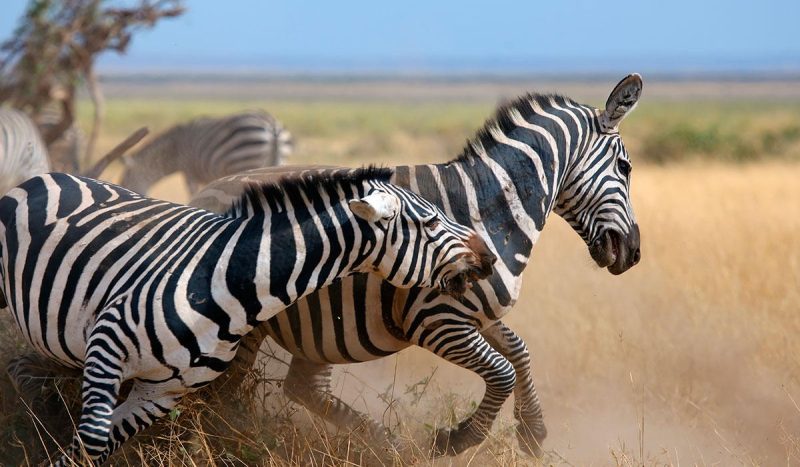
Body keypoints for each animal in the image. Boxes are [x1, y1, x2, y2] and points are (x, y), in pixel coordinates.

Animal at [0, 168, 495, 465]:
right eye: (431, 223)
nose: (487, 258)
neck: (228, 284)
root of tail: (51, 174)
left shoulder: (161, 391)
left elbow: (95, 447)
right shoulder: (108, 345)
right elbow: (92, 441)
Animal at [119, 110, 294, 196]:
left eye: (126, 181)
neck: (174, 150)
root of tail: (272, 125)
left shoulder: (189, 170)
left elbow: (193, 193)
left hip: (245, 160)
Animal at [189, 74, 644, 457]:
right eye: (625, 167)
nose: (634, 253)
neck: (486, 209)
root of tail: (206, 193)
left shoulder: (478, 313)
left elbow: (520, 353)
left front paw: (532, 431)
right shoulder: (436, 320)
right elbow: (502, 372)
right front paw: (457, 439)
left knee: (299, 388)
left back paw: (381, 445)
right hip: (241, 325)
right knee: (220, 394)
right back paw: (221, 444)